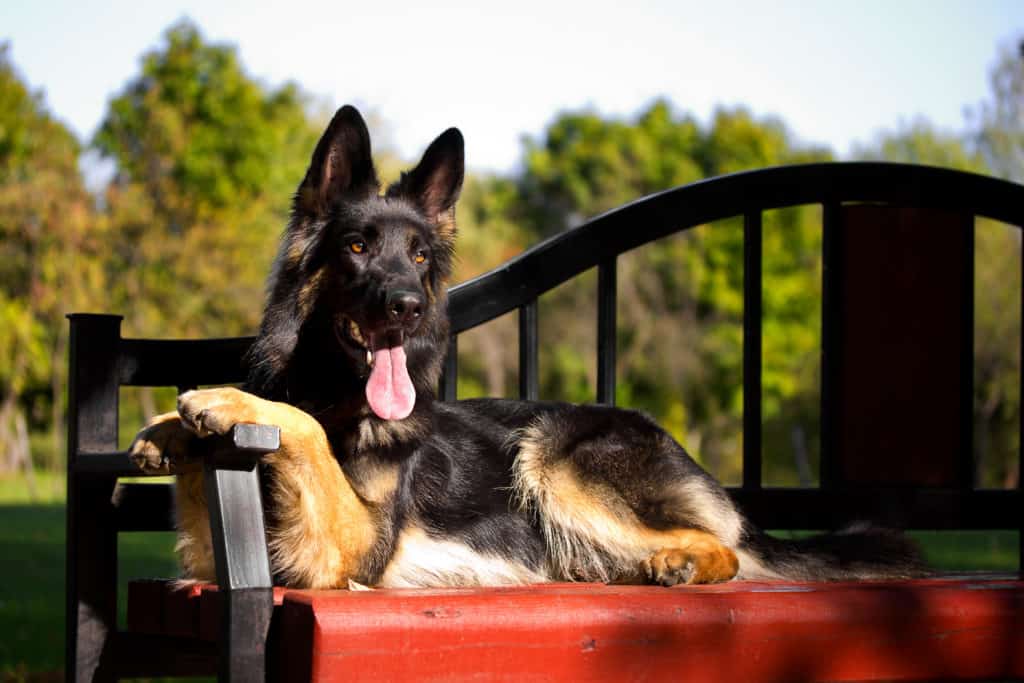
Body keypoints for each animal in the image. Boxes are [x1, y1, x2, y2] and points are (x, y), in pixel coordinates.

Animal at [130, 105, 929, 589]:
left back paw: (679, 560)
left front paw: (220, 399)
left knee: (728, 549)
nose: (409, 307)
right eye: (357, 246)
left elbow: (303, 433)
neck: (333, 393)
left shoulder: (349, 550)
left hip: (553, 458)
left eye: (419, 257)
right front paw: (168, 429)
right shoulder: (213, 554)